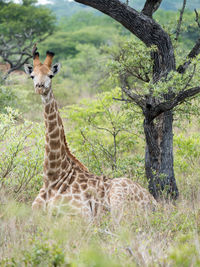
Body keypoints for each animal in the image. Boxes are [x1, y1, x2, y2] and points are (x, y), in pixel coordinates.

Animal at [24, 49, 157, 223]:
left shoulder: (81, 215)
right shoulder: (34, 213)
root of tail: (155, 203)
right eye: (32, 75)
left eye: (50, 75)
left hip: (119, 198)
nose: (40, 88)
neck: (53, 177)